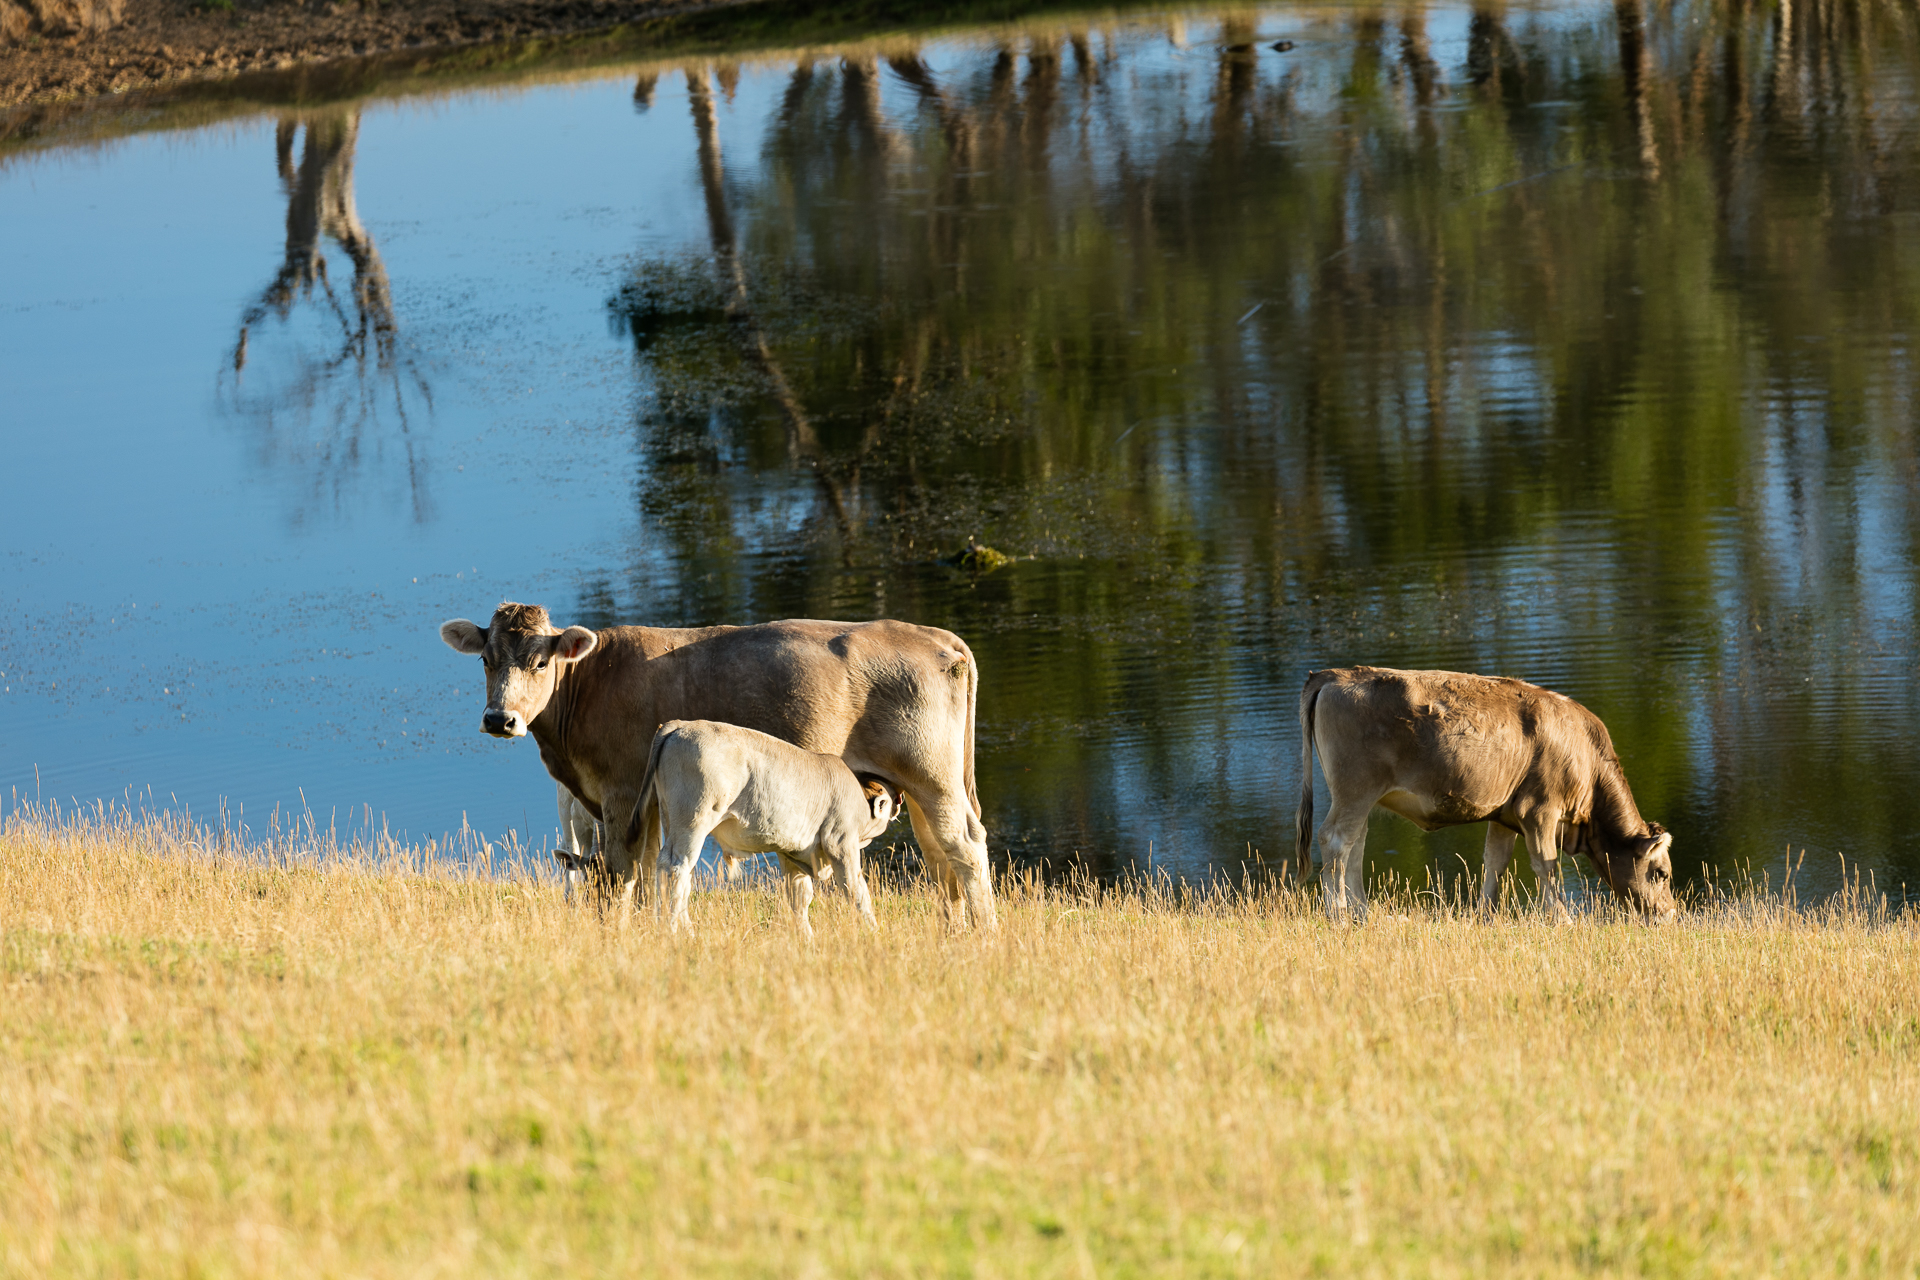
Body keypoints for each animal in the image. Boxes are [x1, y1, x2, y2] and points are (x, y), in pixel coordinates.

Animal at [626, 720, 896, 936]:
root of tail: (682, 724)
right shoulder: (840, 843)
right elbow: (856, 891)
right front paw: (874, 932)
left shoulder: (791, 853)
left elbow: (799, 896)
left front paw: (806, 938)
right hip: (693, 822)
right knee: (676, 869)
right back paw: (678, 932)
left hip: (670, 819)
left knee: (673, 873)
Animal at [1295, 666, 1677, 922]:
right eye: (1661, 873)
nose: (1670, 914)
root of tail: (1335, 674)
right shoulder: (1539, 811)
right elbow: (1547, 865)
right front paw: (1563, 920)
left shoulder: (1506, 815)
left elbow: (1495, 862)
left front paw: (1486, 916)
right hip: (1355, 791)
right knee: (1335, 840)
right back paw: (1339, 915)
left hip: (1362, 799)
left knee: (1354, 845)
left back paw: (1363, 913)